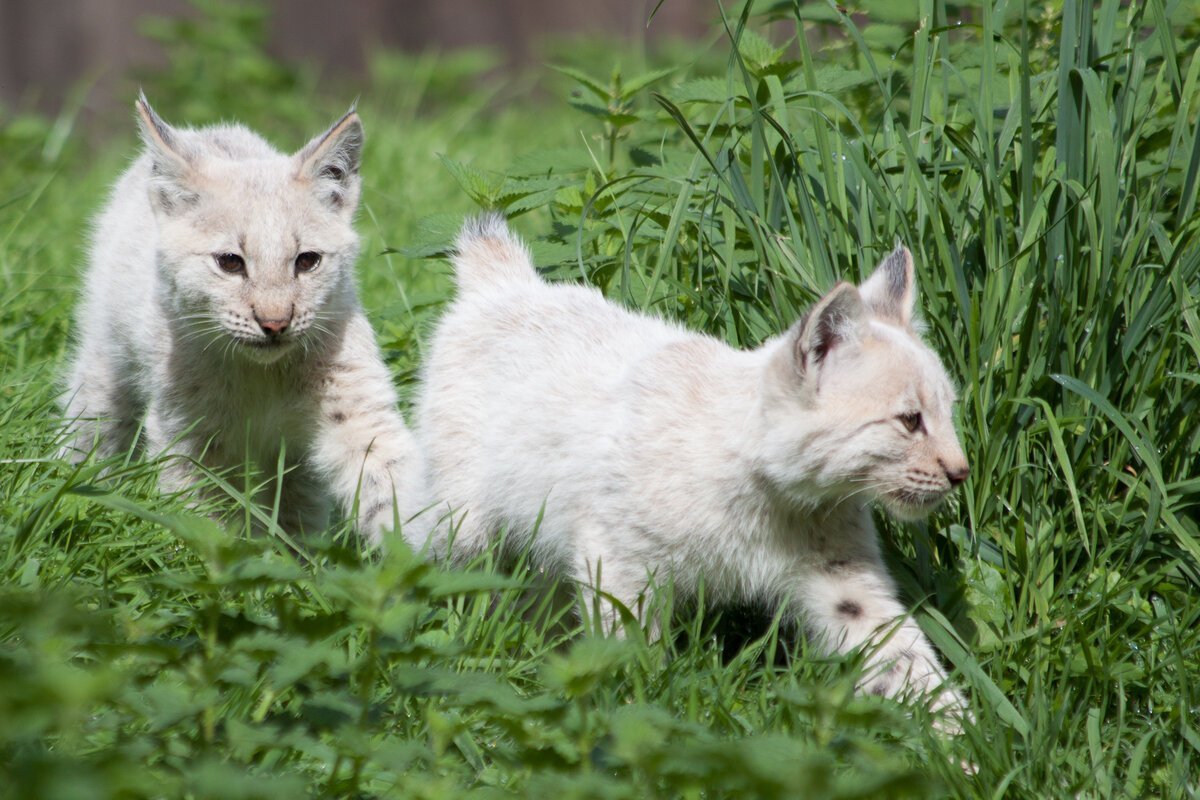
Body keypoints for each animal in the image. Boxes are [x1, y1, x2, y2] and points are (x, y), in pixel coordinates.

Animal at [65, 95, 424, 544]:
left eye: (307, 261)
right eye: (230, 262)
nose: (274, 324)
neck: (261, 373)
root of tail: (209, 130)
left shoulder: (355, 406)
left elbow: (388, 478)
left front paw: (426, 550)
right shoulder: (189, 436)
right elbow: (207, 520)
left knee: (297, 501)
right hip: (105, 355)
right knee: (94, 418)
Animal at [417, 214, 969, 719]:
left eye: (947, 412)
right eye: (910, 421)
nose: (960, 473)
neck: (774, 498)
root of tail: (510, 285)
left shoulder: (843, 576)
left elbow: (901, 652)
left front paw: (962, 737)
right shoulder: (618, 554)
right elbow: (630, 644)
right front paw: (639, 711)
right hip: (462, 523)